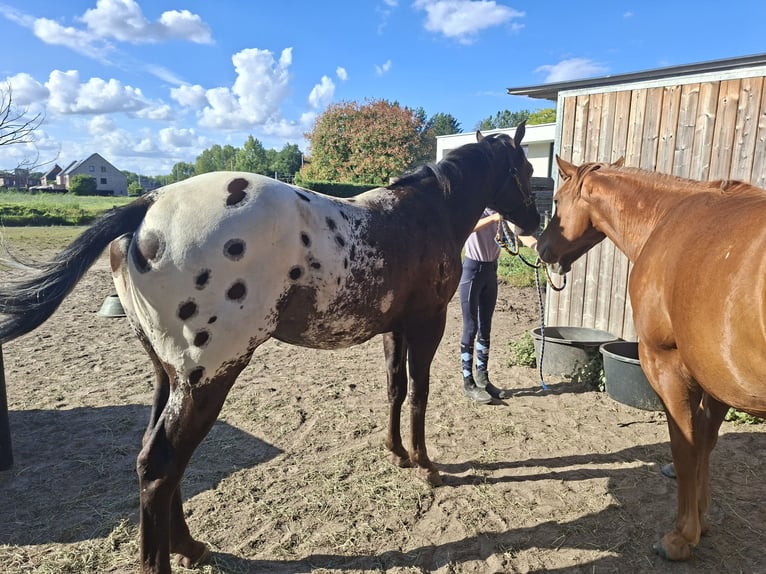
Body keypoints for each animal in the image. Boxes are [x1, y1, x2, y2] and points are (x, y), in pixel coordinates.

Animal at [0, 127, 539, 574]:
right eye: (528, 171)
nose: (536, 223)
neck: (426, 213)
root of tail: (150, 203)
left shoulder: (396, 329)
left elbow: (396, 389)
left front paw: (398, 454)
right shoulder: (429, 325)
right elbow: (421, 394)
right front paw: (426, 466)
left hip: (168, 378)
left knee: (160, 461)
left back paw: (190, 547)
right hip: (207, 378)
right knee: (161, 465)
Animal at [536, 155, 766, 561]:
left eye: (559, 202)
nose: (543, 248)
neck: (667, 217)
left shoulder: (668, 366)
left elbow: (685, 447)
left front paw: (681, 536)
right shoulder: (719, 378)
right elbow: (705, 442)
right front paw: (703, 517)